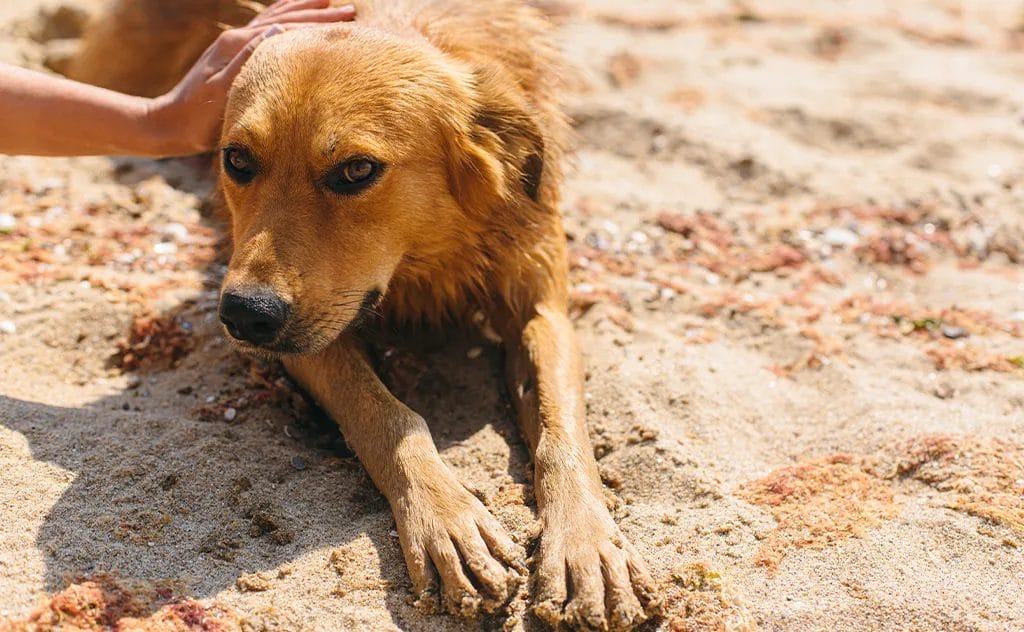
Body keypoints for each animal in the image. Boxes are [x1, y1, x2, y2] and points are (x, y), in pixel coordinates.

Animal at [75, 2, 659, 626]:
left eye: (356, 171)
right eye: (237, 159)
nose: (244, 316)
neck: (428, 262)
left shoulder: (543, 312)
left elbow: (561, 428)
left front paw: (585, 548)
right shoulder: (315, 337)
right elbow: (387, 416)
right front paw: (447, 520)